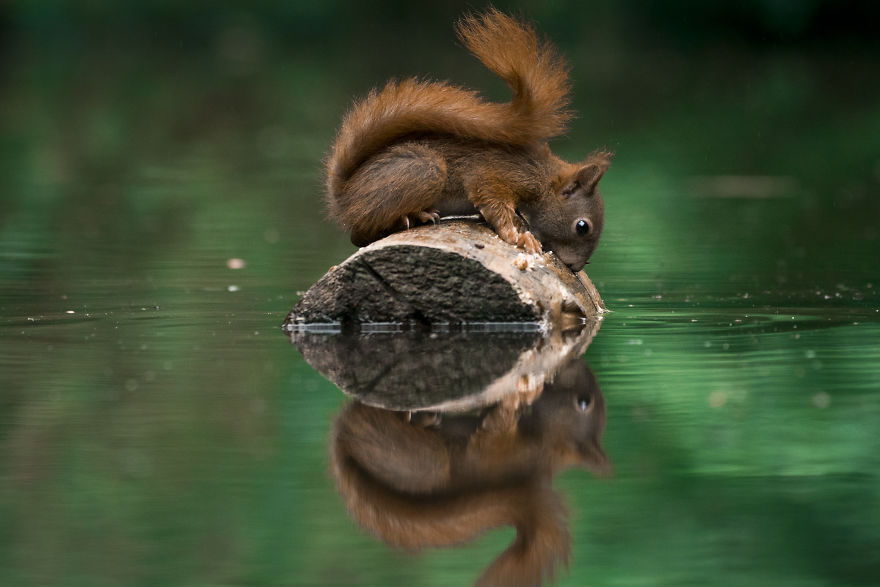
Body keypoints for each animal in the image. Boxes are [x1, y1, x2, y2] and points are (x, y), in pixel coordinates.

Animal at [325, 9, 612, 272]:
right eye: (582, 226)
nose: (576, 267)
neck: (541, 175)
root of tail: (344, 197)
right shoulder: (493, 175)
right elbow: (493, 205)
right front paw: (518, 237)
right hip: (424, 170)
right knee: (360, 232)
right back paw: (411, 217)